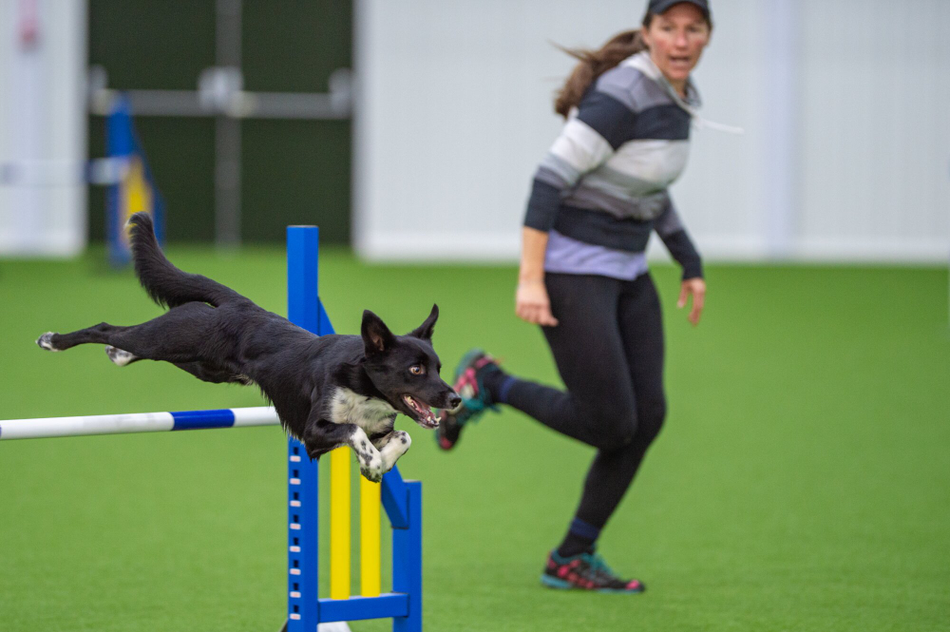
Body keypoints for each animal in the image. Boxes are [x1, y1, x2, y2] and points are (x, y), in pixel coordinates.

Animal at [33, 212, 458, 478]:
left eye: (438, 367)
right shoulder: (314, 432)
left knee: (128, 344)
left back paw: (116, 355)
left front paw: (378, 464)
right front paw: (372, 463)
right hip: (176, 335)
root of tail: (240, 304)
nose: (455, 399)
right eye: (416, 369)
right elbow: (353, 431)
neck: (363, 384)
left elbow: (401, 437)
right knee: (107, 328)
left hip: (204, 365)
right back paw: (52, 340)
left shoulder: (379, 428)